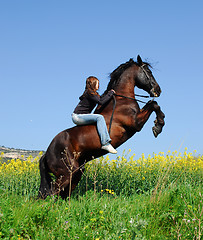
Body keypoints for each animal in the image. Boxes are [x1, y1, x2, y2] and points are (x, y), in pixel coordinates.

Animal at [38, 55, 165, 199]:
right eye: (148, 72)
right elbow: (154, 105)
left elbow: (153, 104)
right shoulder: (136, 123)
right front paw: (158, 127)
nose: (158, 90)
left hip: (76, 173)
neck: (122, 99)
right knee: (52, 193)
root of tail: (47, 153)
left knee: (61, 194)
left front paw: (158, 124)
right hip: (66, 173)